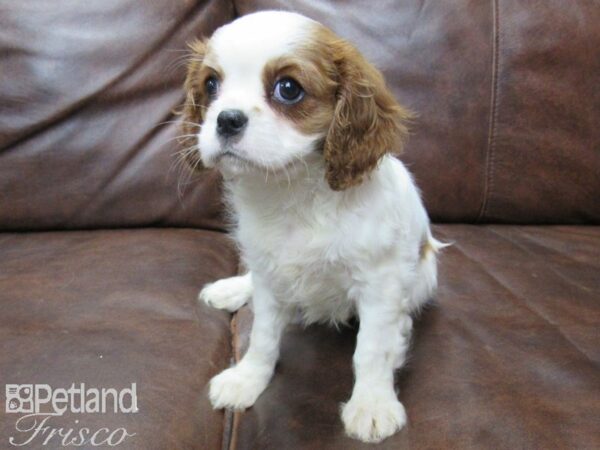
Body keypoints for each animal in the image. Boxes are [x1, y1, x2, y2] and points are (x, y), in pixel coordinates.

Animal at [183, 10, 446, 442]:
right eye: (211, 85)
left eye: (288, 89)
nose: (226, 119)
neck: (294, 192)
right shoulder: (270, 275)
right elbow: (262, 337)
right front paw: (247, 379)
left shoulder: (380, 282)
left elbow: (372, 348)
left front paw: (372, 403)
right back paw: (232, 288)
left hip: (424, 277)